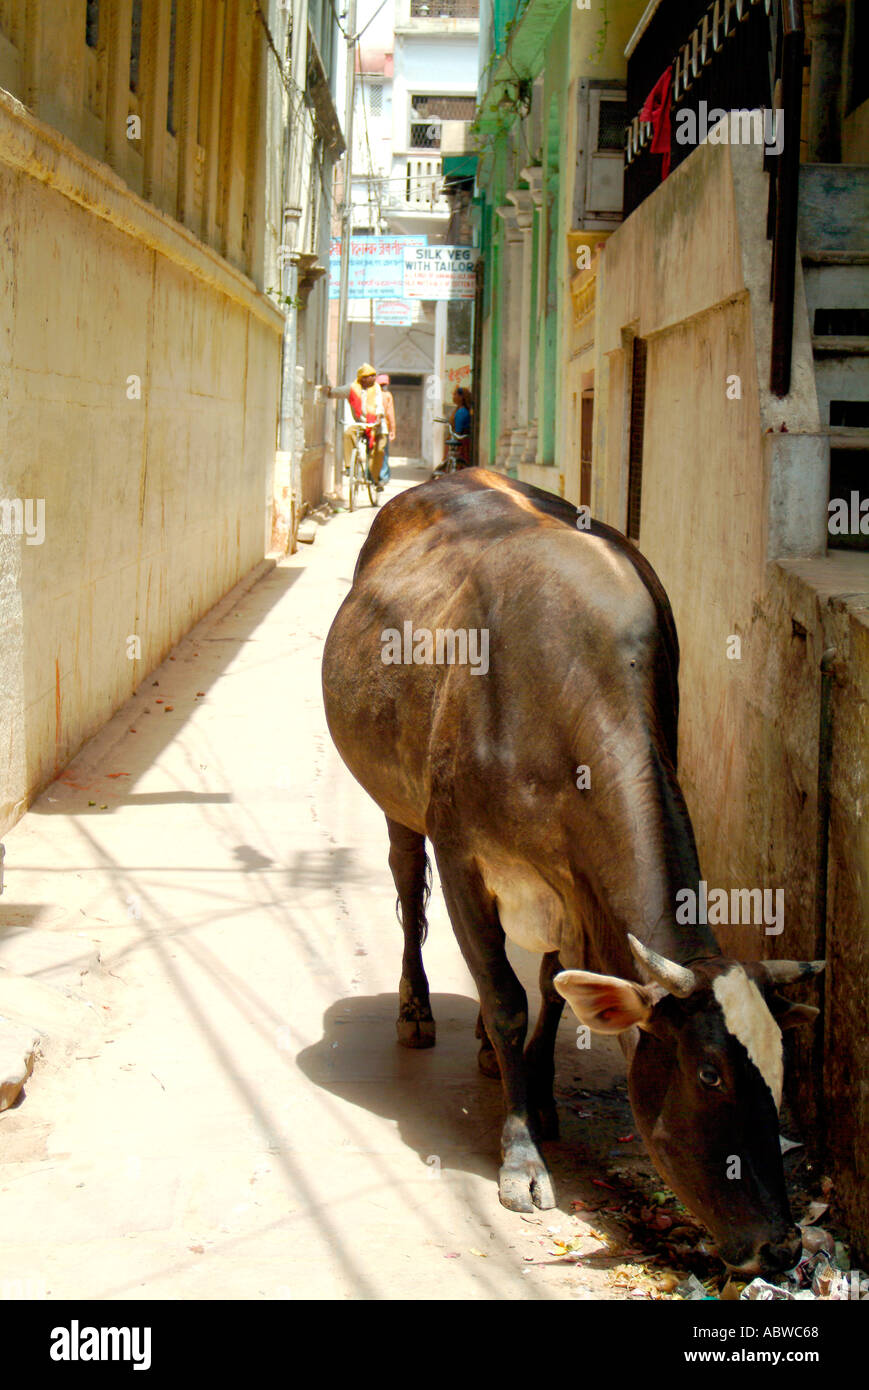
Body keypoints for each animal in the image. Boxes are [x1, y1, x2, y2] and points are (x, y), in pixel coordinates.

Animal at [322, 472, 823, 1273]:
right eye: (709, 1073)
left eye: (778, 1071)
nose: (780, 1247)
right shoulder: (464, 859)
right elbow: (505, 999)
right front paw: (521, 1158)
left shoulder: (573, 891)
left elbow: (552, 993)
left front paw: (539, 1096)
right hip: (397, 802)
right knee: (407, 889)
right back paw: (416, 1009)